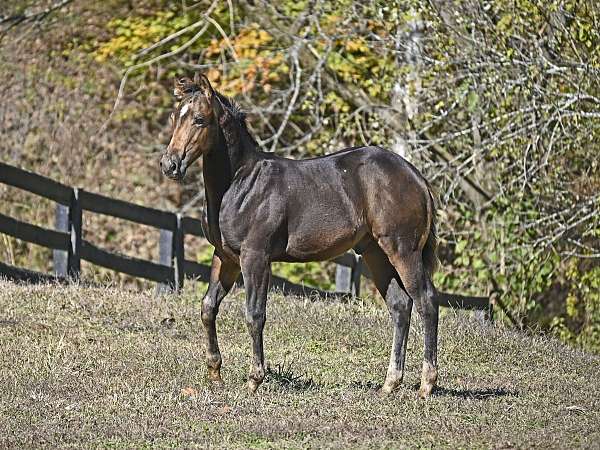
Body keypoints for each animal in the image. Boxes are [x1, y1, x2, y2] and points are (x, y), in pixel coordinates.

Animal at [159, 73, 440, 398]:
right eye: (174, 117)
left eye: (200, 120)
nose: (170, 165)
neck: (241, 184)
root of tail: (417, 177)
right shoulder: (225, 256)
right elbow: (208, 307)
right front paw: (215, 374)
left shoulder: (256, 257)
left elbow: (255, 314)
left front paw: (254, 379)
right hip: (375, 253)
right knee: (400, 305)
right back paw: (390, 384)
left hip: (402, 249)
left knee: (426, 301)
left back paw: (426, 385)